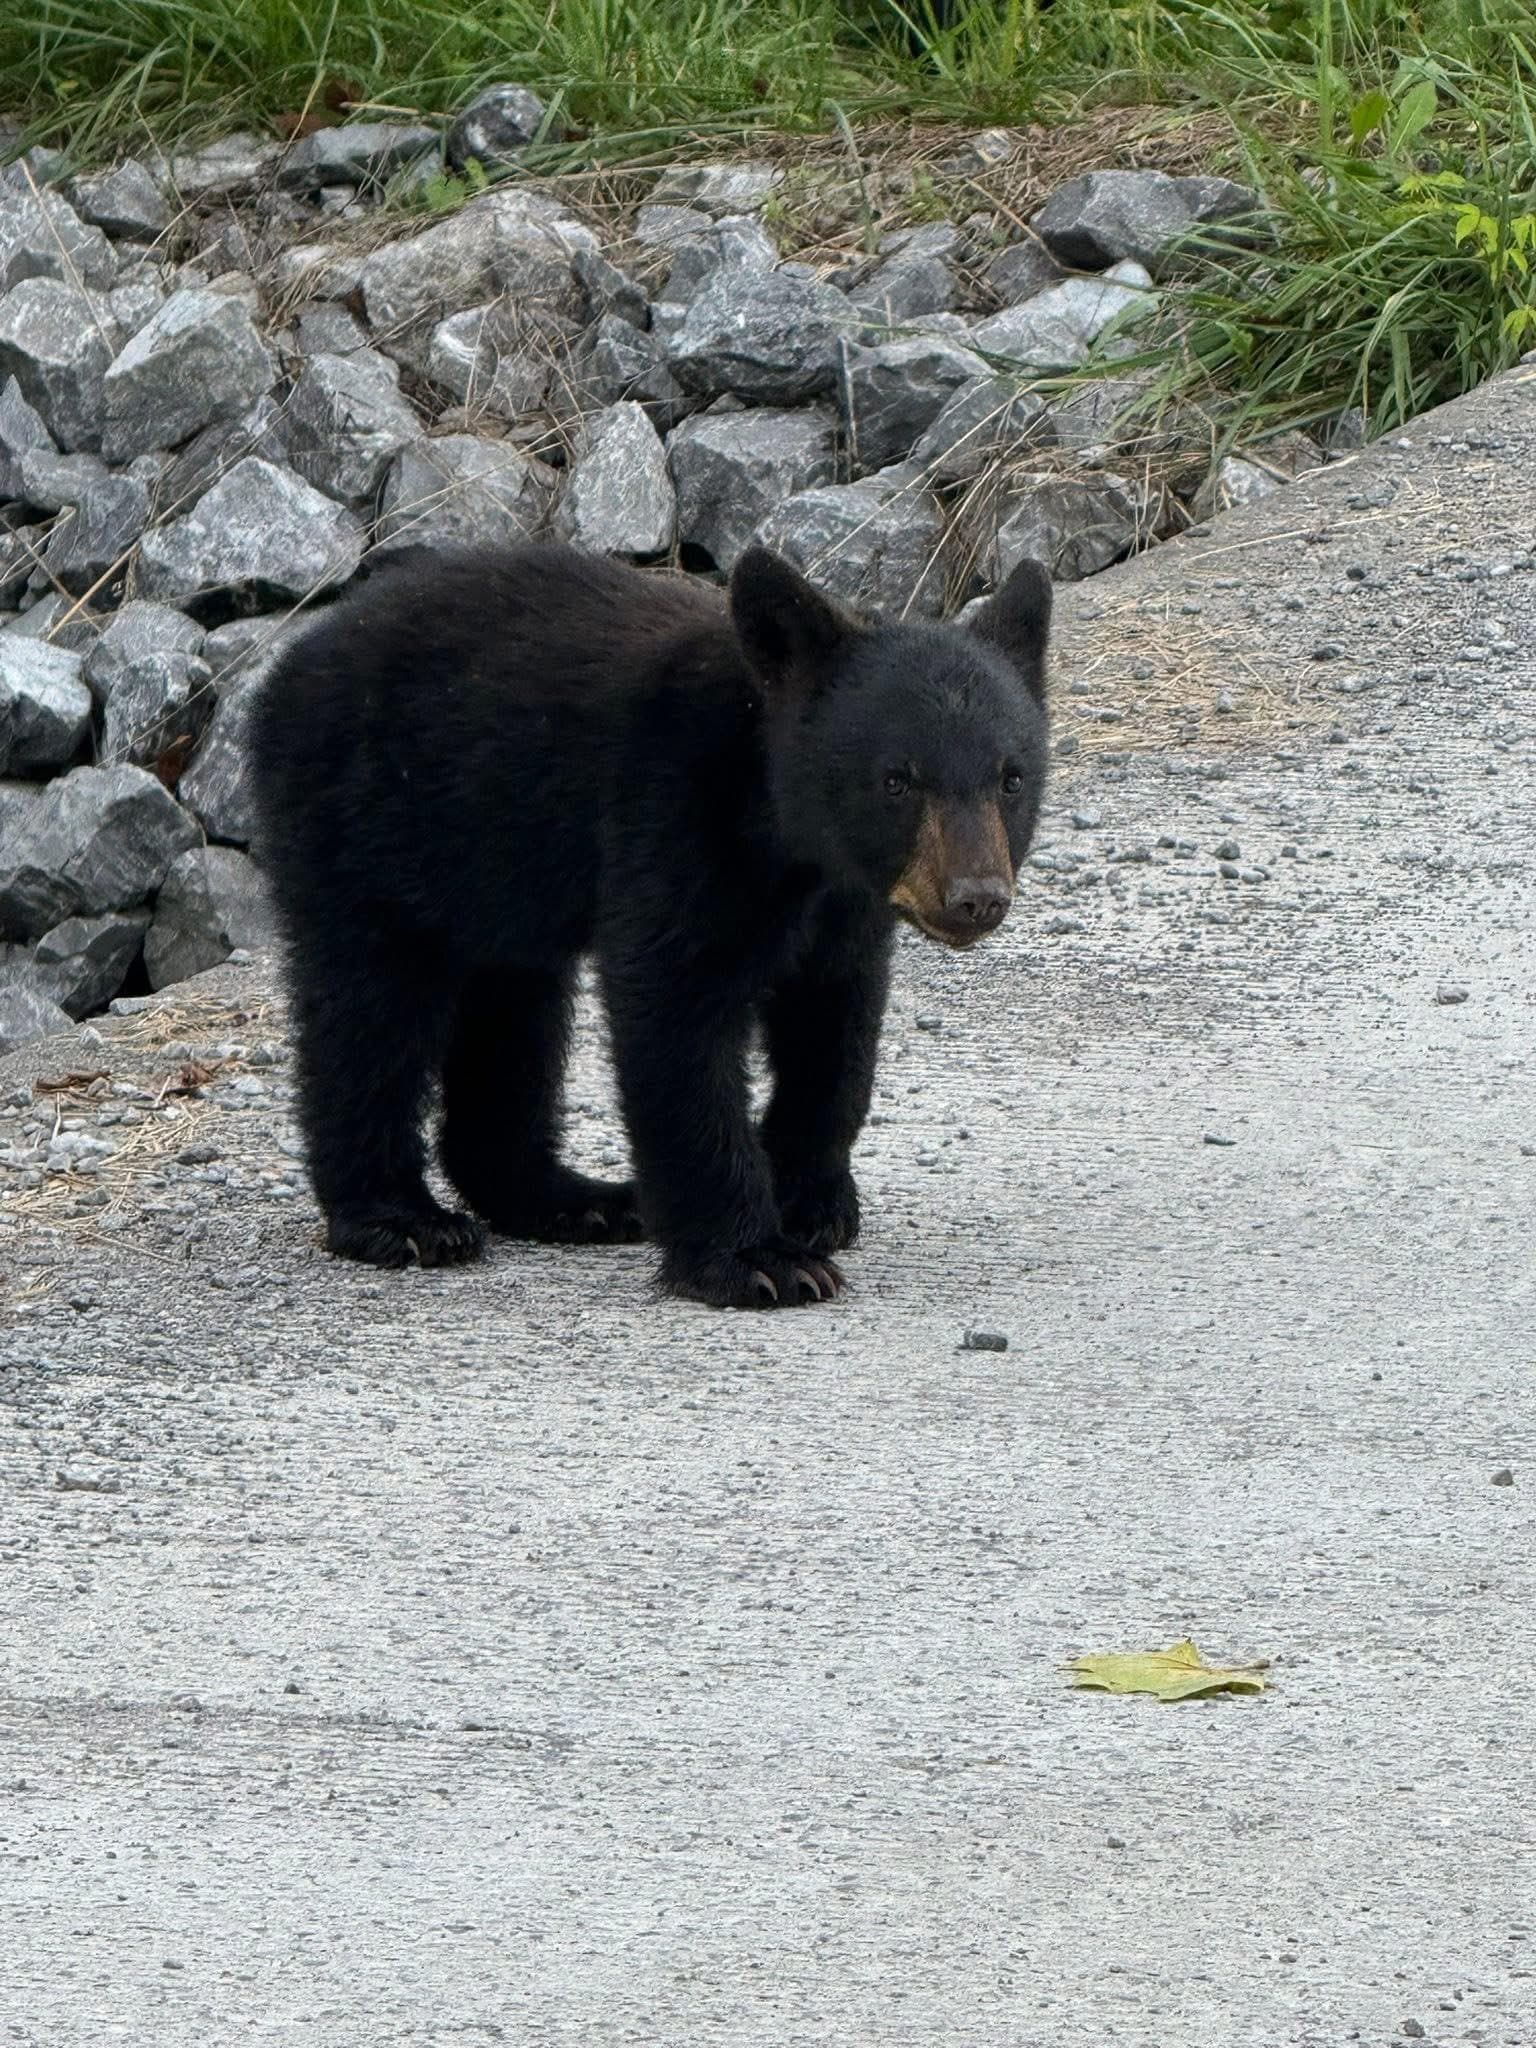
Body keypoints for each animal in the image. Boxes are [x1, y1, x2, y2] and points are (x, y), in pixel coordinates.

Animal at [247, 541, 1051, 1308]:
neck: (786, 833)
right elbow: (677, 1011)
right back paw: (402, 1218)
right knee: (369, 1010)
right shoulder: (670, 812)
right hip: (365, 823)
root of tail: (291, 661)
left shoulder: (845, 905)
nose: (975, 897)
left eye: (1011, 777)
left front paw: (812, 1201)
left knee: (514, 1010)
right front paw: (757, 1261)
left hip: (499, 872)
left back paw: (571, 1199)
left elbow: (835, 1028)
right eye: (897, 779)